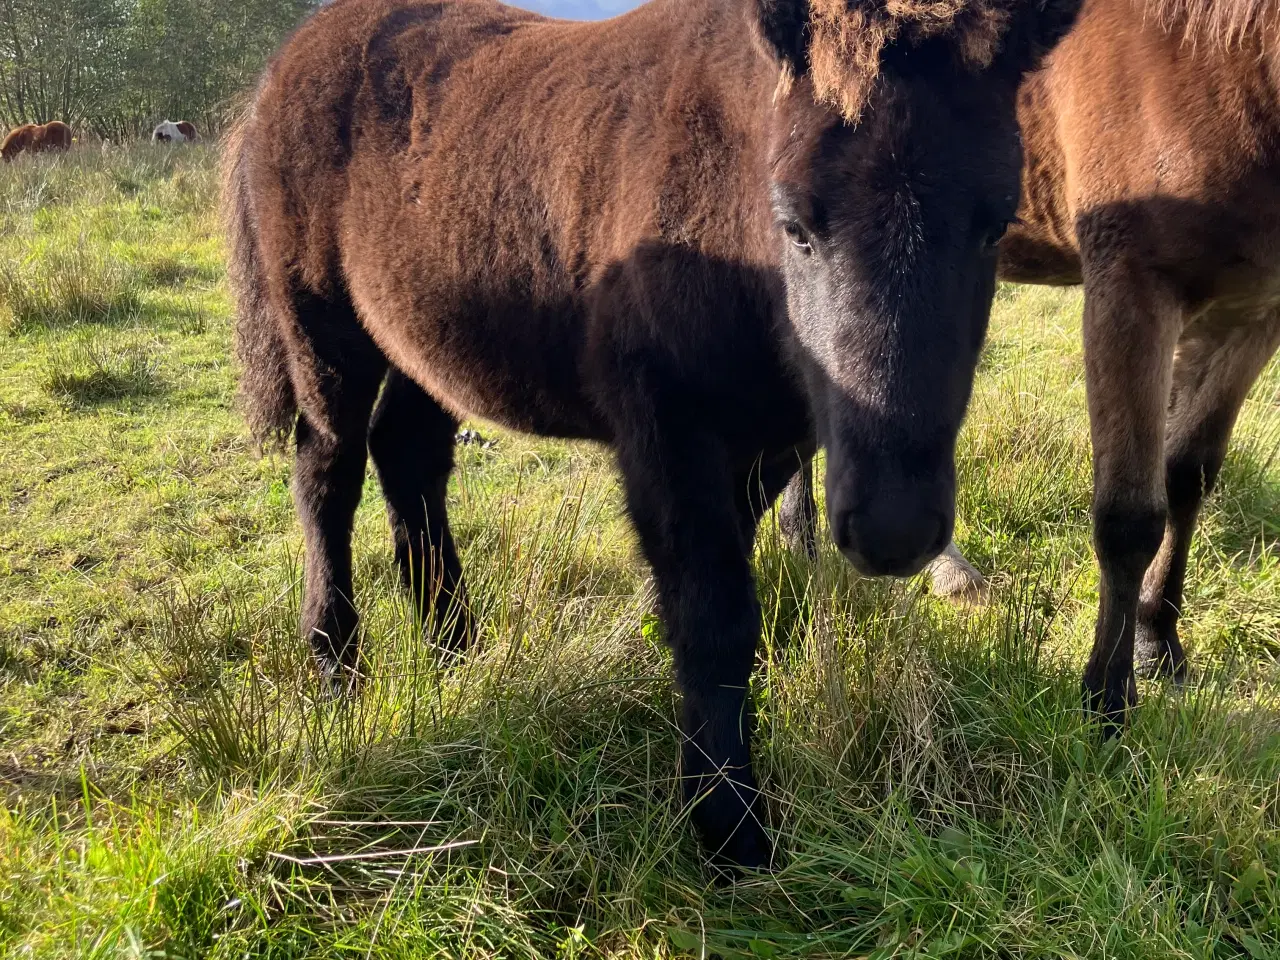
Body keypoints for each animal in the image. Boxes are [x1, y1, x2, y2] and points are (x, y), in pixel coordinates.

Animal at [227, 0, 1080, 870]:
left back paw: (454, 651)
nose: (893, 531)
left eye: (995, 224)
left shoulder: (765, 448)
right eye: (794, 223)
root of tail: (287, 62)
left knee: (408, 455)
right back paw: (339, 668)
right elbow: (712, 621)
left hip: (425, 338)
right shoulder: (666, 439)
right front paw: (730, 833)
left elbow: (723, 612)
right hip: (324, 332)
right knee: (328, 475)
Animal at [778, 0, 1280, 727]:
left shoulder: (1252, 313)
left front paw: (1158, 641)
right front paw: (1106, 702)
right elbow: (1129, 515)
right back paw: (810, 543)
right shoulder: (1130, 286)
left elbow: (1187, 478)